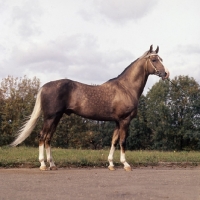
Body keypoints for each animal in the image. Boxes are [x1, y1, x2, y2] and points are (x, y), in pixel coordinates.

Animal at [10, 45, 170, 170]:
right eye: (154, 60)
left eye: (161, 59)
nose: (166, 74)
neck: (126, 88)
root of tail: (44, 86)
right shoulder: (124, 121)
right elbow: (122, 141)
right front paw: (125, 164)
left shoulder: (117, 122)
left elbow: (114, 141)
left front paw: (111, 164)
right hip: (50, 117)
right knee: (42, 136)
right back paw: (43, 164)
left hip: (56, 118)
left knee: (48, 138)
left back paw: (52, 164)